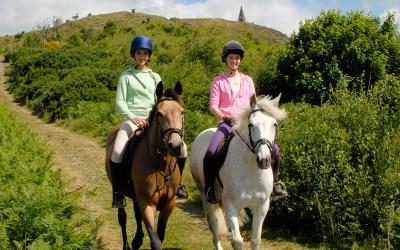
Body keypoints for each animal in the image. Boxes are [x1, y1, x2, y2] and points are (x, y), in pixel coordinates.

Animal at [105, 81, 185, 249]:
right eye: (159, 114)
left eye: (181, 112)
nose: (175, 146)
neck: (161, 164)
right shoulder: (147, 204)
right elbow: (155, 241)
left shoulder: (169, 204)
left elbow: (160, 235)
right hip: (119, 190)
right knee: (122, 217)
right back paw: (128, 244)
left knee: (136, 213)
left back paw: (137, 239)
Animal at [191, 94, 288, 250]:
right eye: (251, 124)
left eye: (274, 124)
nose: (264, 160)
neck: (252, 171)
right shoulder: (231, 206)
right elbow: (237, 242)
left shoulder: (262, 206)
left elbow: (255, 240)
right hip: (205, 196)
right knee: (214, 226)